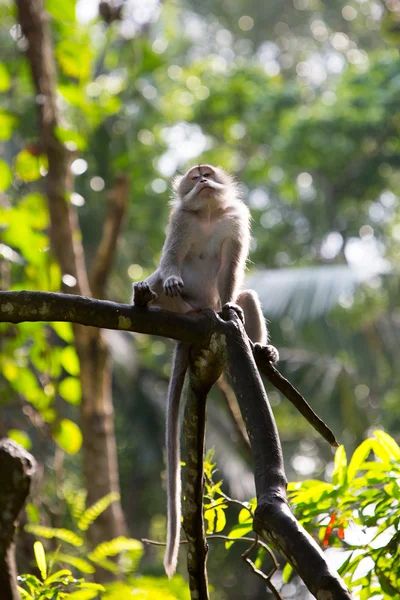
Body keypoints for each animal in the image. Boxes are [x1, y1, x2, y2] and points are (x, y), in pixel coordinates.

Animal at [133, 163, 276, 576]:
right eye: (194, 178)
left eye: (207, 173)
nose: (203, 180)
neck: (210, 213)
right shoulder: (180, 219)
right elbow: (170, 258)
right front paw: (165, 278)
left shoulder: (237, 218)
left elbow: (232, 269)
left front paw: (235, 310)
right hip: (178, 307)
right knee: (160, 282)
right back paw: (150, 296)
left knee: (246, 298)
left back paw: (256, 344)